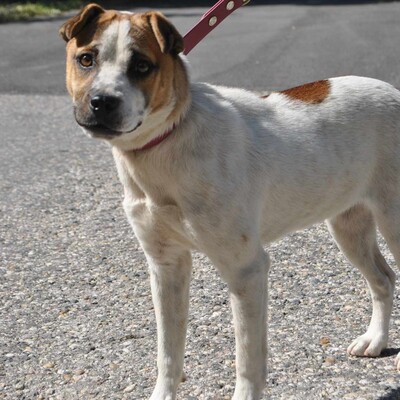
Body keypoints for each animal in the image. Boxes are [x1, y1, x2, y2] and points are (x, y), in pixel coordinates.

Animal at [59, 3, 400, 400]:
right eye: (86, 59)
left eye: (142, 66)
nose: (102, 102)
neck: (168, 141)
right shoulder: (165, 265)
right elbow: (168, 353)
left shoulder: (246, 269)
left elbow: (248, 359)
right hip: (349, 226)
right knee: (384, 279)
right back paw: (375, 340)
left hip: (392, 223)